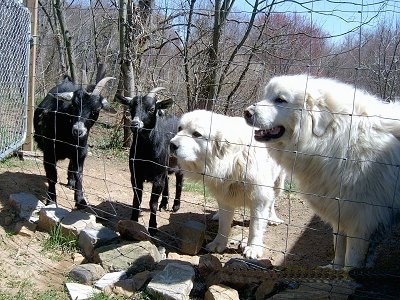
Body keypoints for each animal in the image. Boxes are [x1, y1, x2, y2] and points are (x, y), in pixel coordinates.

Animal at [34, 75, 114, 207]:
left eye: (96, 110)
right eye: (73, 107)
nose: (78, 131)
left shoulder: (81, 152)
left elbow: (79, 174)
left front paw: (80, 200)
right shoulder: (49, 153)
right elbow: (52, 176)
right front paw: (51, 200)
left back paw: (71, 182)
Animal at [116, 88, 184, 236]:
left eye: (152, 109)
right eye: (131, 107)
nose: (135, 124)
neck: (146, 152)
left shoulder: (157, 176)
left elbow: (152, 202)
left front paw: (152, 227)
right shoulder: (135, 174)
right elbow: (137, 199)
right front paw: (133, 221)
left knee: (179, 181)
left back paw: (176, 206)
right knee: (167, 180)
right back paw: (164, 203)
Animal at [170, 109, 286, 258]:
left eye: (196, 134)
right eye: (179, 128)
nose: (171, 144)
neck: (233, 161)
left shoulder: (259, 197)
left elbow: (255, 226)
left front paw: (253, 248)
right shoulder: (225, 197)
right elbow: (224, 225)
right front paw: (219, 243)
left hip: (278, 183)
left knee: (272, 201)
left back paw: (273, 218)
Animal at [244, 75, 400, 270]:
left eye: (280, 100)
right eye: (266, 95)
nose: (247, 112)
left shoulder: (361, 223)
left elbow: (350, 260)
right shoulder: (341, 213)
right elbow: (339, 248)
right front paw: (334, 270)